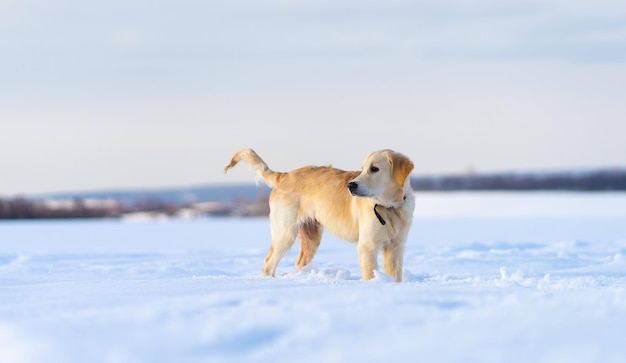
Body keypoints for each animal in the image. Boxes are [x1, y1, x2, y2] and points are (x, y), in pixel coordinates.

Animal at [224, 149, 414, 282]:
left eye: (374, 169)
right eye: (362, 169)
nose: (351, 185)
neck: (391, 206)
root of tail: (285, 176)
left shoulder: (396, 247)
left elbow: (396, 276)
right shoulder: (367, 246)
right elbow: (370, 273)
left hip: (311, 237)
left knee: (298, 262)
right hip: (285, 233)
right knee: (268, 265)